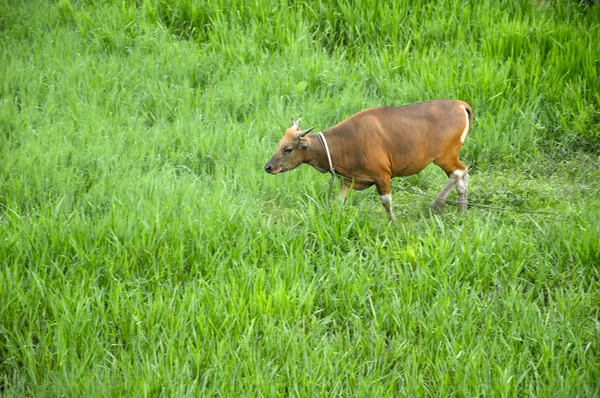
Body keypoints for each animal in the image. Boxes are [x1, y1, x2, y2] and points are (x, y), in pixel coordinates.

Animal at [262, 99, 474, 221]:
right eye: (279, 145)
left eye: (288, 149)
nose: (268, 167)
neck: (346, 142)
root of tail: (460, 104)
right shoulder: (348, 180)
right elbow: (340, 202)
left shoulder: (382, 176)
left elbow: (386, 202)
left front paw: (393, 223)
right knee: (462, 176)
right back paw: (462, 212)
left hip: (444, 156)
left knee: (459, 172)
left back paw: (438, 204)